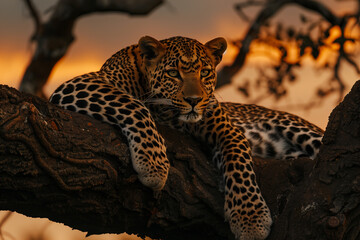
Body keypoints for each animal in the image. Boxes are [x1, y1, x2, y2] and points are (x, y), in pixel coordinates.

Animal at [50, 35, 324, 240]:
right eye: (173, 73)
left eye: (205, 72)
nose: (194, 100)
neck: (168, 113)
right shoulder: (76, 85)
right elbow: (132, 104)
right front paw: (154, 165)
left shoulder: (226, 128)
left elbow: (239, 162)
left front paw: (250, 218)